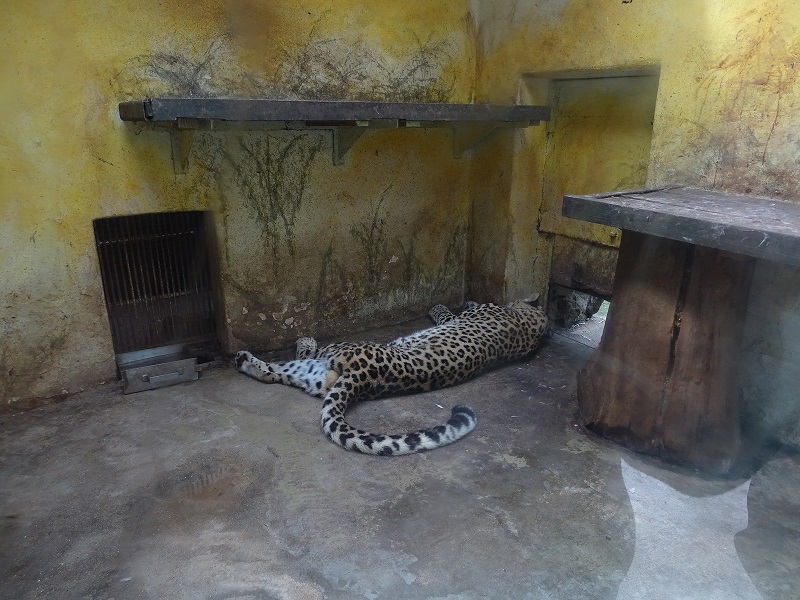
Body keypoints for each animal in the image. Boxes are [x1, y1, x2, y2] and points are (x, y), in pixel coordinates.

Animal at [235, 299, 548, 456]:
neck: (534, 328)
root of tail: (363, 379)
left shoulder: (466, 316)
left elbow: (448, 314)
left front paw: (441, 306)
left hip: (335, 351)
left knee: (302, 356)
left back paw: (297, 342)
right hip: (317, 374)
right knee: (275, 374)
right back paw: (246, 362)